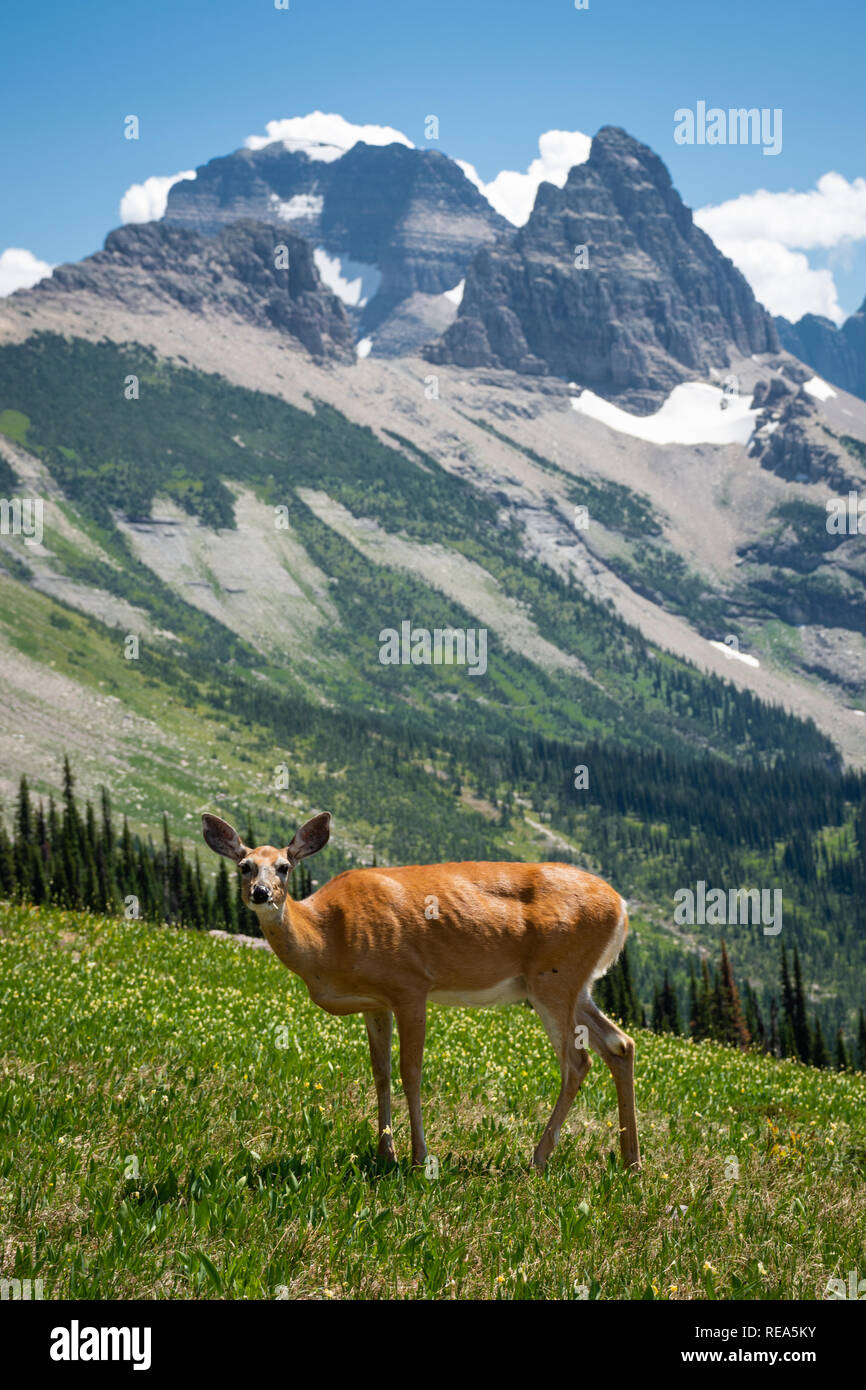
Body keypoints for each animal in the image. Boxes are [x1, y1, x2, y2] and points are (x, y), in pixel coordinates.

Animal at [200, 806, 639, 1173]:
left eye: (285, 867)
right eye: (244, 866)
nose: (260, 894)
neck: (326, 938)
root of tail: (621, 907)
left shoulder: (410, 985)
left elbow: (411, 1072)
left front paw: (419, 1158)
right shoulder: (374, 1003)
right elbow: (380, 1071)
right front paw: (384, 1152)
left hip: (555, 978)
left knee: (577, 1062)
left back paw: (539, 1157)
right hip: (575, 985)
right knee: (620, 1044)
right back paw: (630, 1161)